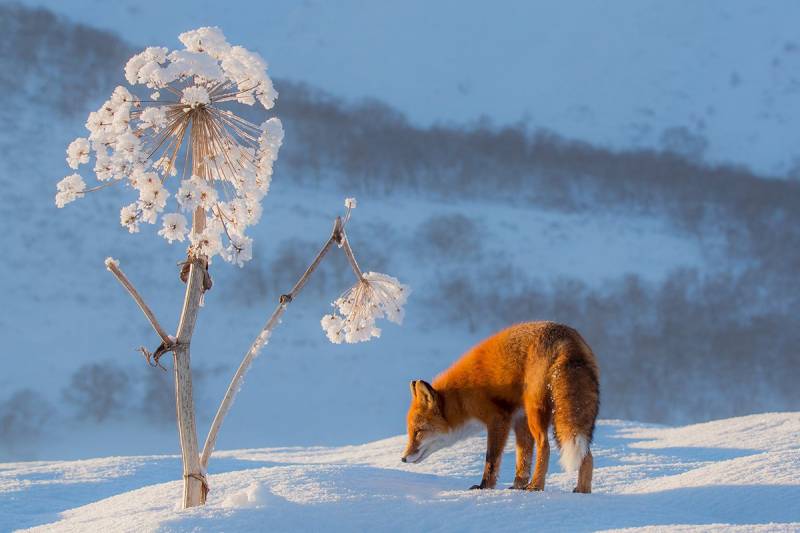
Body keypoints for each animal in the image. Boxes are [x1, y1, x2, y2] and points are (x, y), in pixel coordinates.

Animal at [404, 320, 596, 490]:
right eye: (410, 432)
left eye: (418, 432)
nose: (403, 459)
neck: (461, 397)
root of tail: (566, 337)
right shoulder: (519, 419)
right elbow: (523, 458)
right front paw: (517, 487)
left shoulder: (498, 419)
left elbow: (492, 458)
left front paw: (485, 486)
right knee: (587, 455)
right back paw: (582, 490)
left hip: (537, 413)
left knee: (544, 446)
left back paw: (536, 486)